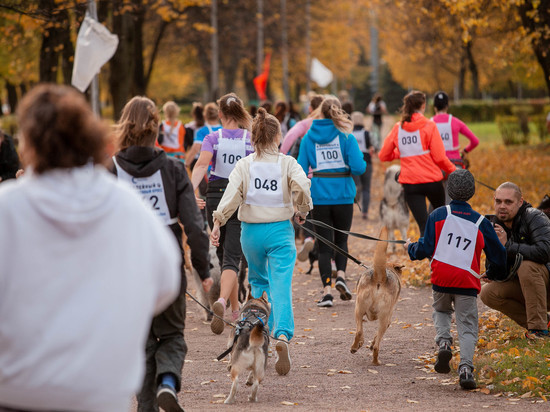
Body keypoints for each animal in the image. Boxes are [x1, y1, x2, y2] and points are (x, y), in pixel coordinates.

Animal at [352, 227, 404, 366]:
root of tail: (380, 276)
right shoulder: (388, 321)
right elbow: (376, 337)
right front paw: (369, 344)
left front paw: (362, 343)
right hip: (383, 318)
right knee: (376, 346)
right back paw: (375, 361)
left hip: (358, 309)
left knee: (359, 331)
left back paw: (355, 347)